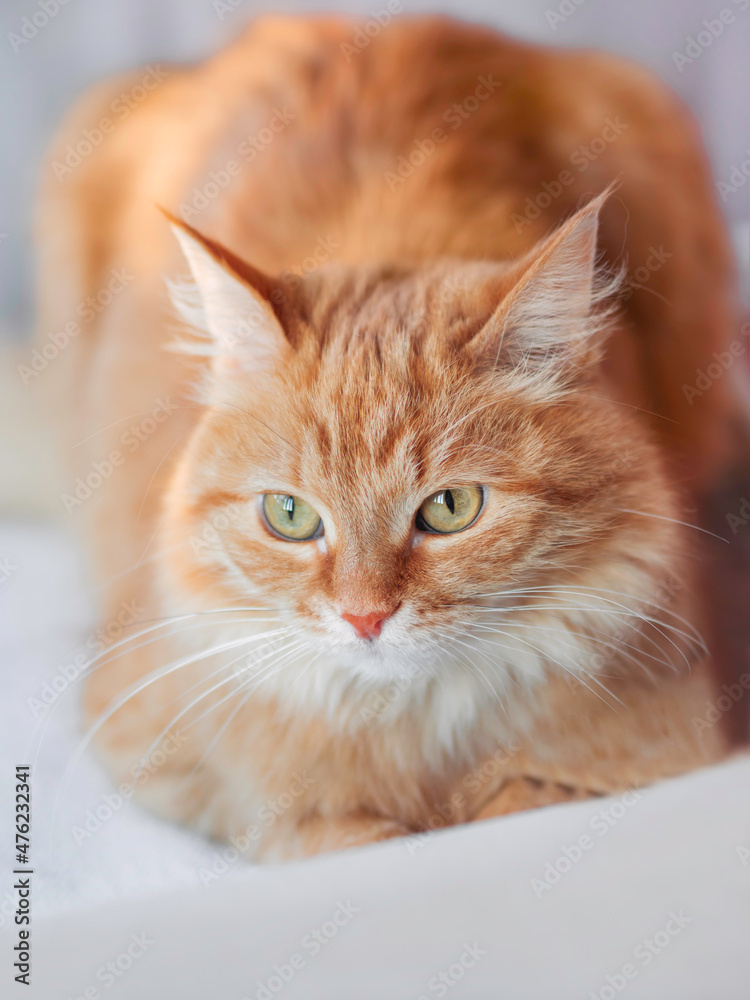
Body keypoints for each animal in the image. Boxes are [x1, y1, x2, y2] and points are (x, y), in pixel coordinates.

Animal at [36, 17, 750, 860]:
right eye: (289, 516)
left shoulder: (658, 747)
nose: (364, 619)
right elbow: (333, 833)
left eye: (451, 508)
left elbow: (516, 801)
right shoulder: (187, 769)